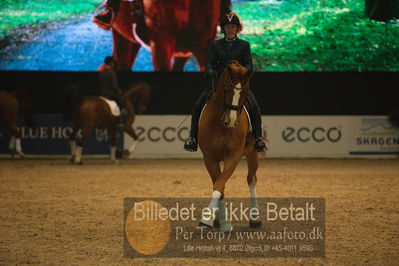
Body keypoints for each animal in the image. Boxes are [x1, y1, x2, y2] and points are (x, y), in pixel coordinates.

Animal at [198, 61, 260, 232]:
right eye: (226, 87)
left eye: (245, 90)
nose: (231, 121)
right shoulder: (209, 158)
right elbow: (219, 185)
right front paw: (220, 220)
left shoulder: (233, 156)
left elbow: (220, 183)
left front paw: (209, 218)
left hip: (252, 152)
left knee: (251, 179)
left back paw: (255, 219)